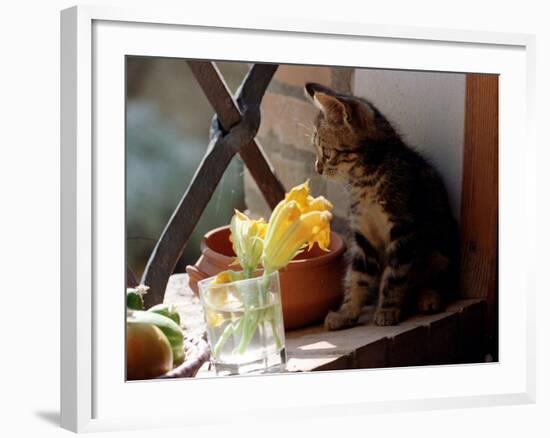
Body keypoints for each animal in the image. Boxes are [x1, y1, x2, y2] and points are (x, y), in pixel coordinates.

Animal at [306, 83, 462, 328]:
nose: (317, 168)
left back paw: (428, 296)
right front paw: (346, 313)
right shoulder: (363, 236)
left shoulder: (404, 229)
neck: (365, 180)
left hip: (442, 240)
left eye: (327, 152)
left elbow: (395, 276)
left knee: (442, 279)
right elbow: (357, 276)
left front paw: (387, 310)